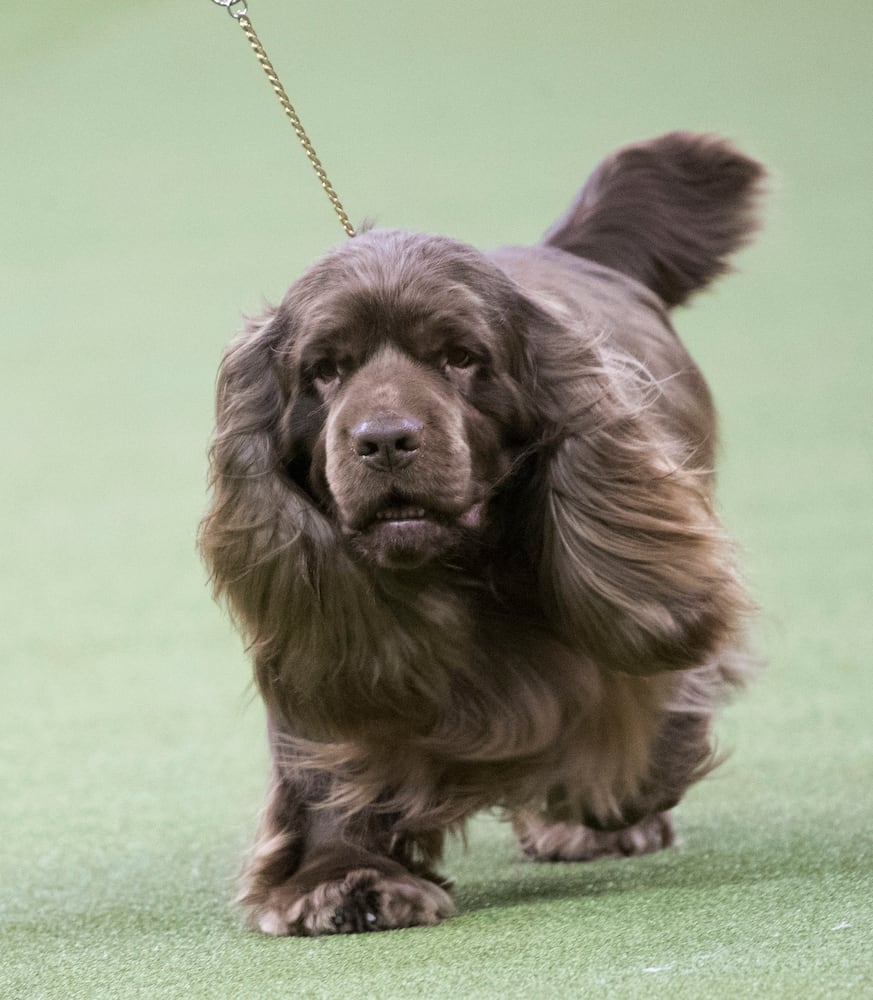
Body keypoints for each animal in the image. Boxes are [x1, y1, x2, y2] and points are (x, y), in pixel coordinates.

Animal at [199, 133, 764, 936]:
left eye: (460, 357)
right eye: (326, 370)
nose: (384, 440)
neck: (457, 569)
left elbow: (639, 700)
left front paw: (608, 798)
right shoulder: (323, 638)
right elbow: (329, 759)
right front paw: (341, 877)